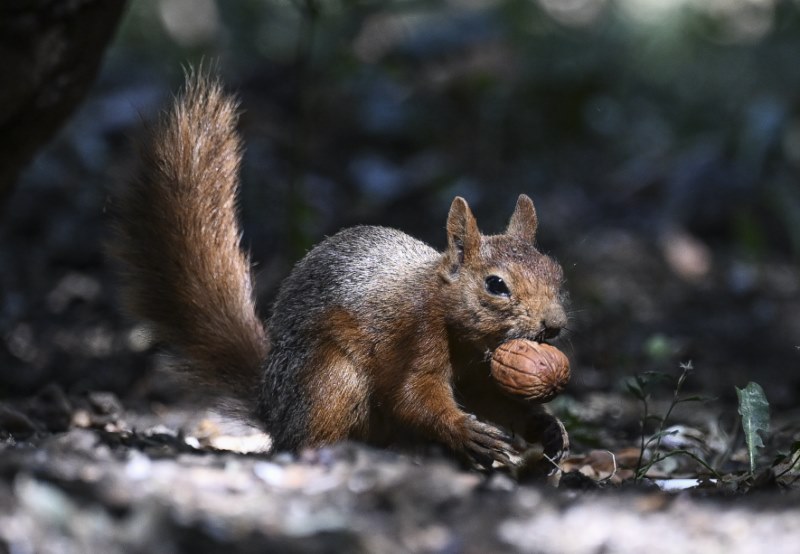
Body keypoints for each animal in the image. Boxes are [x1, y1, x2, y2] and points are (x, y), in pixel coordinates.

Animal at [112, 70, 568, 466]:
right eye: (496, 285)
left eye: (557, 274)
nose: (554, 325)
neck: (456, 326)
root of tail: (272, 409)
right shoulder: (413, 336)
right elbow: (411, 393)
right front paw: (463, 429)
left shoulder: (476, 371)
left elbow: (490, 400)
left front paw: (545, 427)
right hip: (330, 377)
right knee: (313, 435)